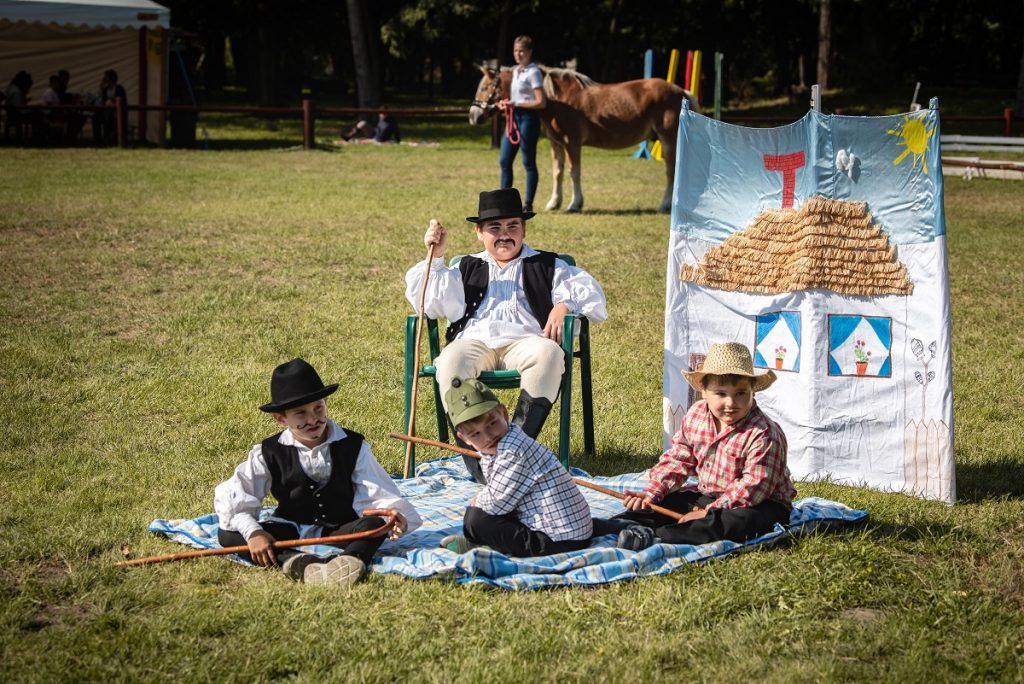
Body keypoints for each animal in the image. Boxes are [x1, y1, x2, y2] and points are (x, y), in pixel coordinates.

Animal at [468, 66, 696, 214]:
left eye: (485, 87)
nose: (473, 115)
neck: (557, 99)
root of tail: (681, 91)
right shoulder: (556, 144)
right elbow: (558, 172)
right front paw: (554, 203)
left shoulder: (572, 143)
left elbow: (573, 172)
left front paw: (574, 204)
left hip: (668, 141)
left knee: (671, 172)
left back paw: (664, 206)